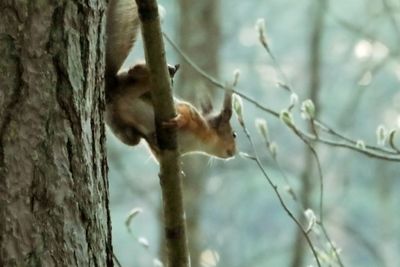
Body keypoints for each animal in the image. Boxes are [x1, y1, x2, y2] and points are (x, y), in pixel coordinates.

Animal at [105, 0, 238, 159]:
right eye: (234, 134)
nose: (234, 152)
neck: (202, 141)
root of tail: (113, 90)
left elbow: (157, 154)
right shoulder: (191, 113)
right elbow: (185, 113)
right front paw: (179, 121)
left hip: (126, 134)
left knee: (134, 137)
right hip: (136, 84)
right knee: (136, 72)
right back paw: (166, 71)